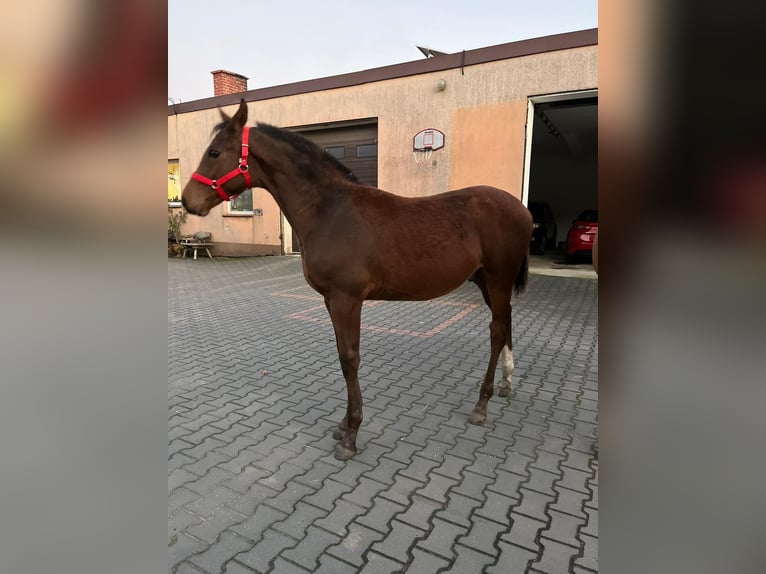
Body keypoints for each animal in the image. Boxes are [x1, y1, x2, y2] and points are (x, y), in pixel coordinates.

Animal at [182, 99, 533, 460]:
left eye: (214, 152)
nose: (187, 200)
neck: (330, 211)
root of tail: (521, 209)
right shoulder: (330, 299)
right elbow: (343, 354)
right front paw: (342, 426)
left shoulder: (346, 298)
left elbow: (349, 358)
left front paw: (350, 434)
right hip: (486, 282)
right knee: (505, 321)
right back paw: (506, 385)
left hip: (498, 278)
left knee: (496, 331)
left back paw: (482, 404)